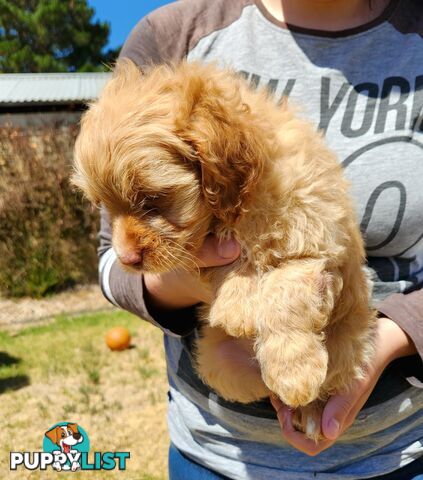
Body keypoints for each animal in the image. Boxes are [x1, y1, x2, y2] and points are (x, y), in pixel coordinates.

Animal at [73, 61, 378, 442]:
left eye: (151, 199)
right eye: (105, 207)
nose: (127, 259)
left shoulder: (317, 244)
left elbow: (284, 294)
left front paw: (294, 372)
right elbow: (228, 263)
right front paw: (237, 306)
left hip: (347, 345)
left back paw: (307, 408)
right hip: (219, 363)